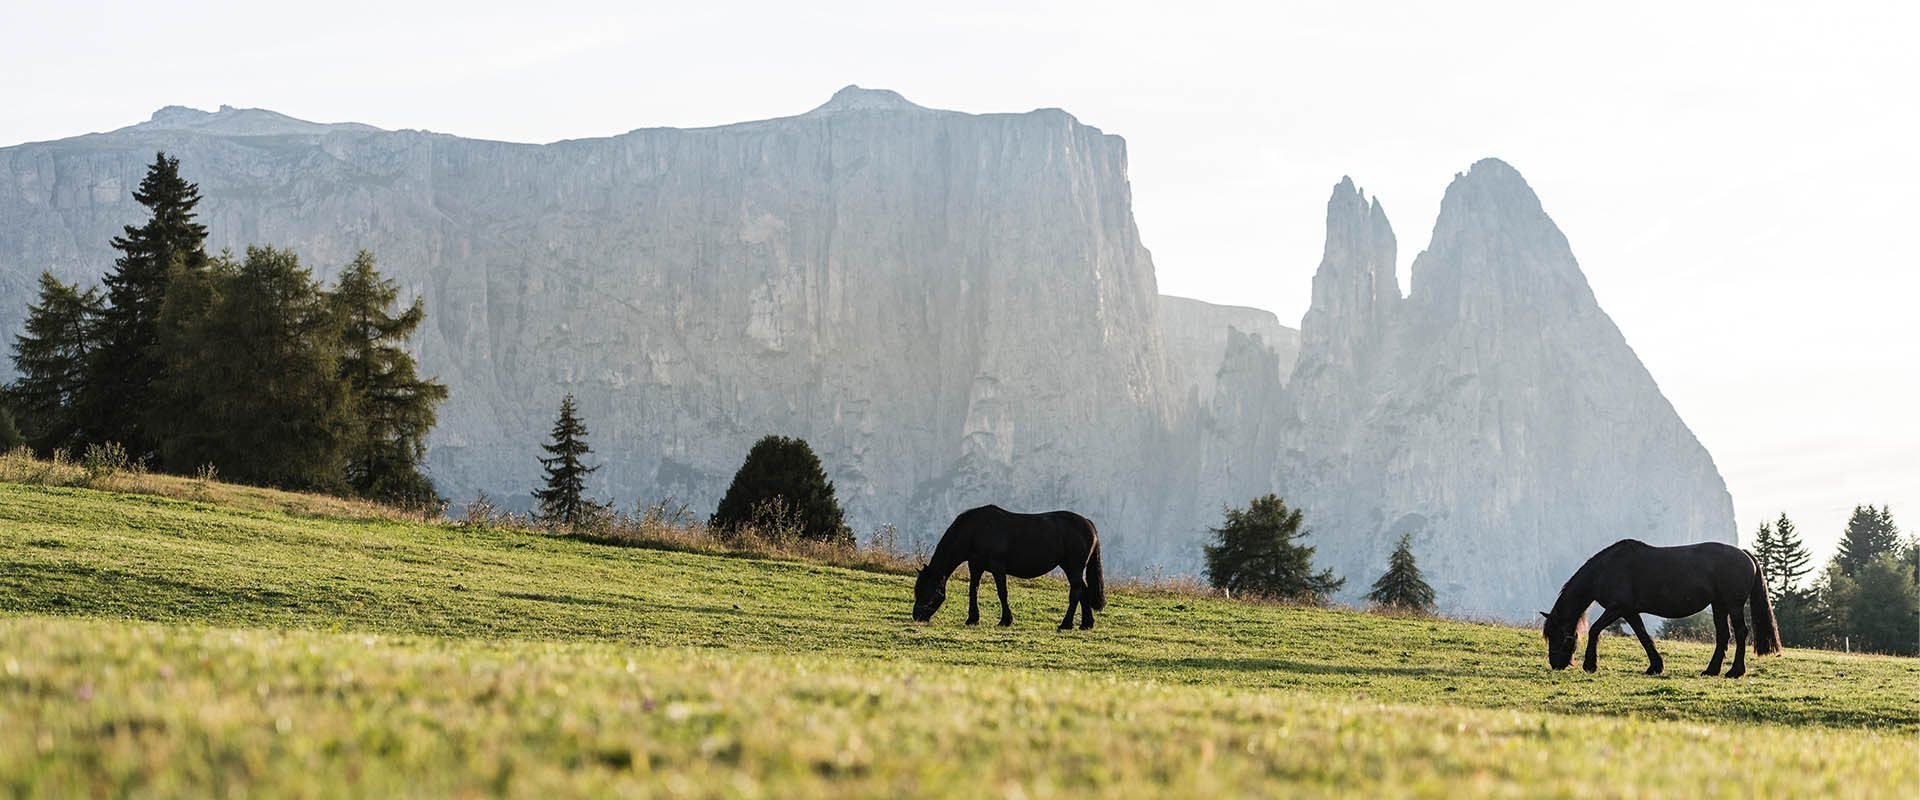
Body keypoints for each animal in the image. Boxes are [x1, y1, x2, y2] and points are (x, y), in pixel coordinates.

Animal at [913, 506, 1113, 629]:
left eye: (928, 591)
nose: (917, 617)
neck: (976, 531)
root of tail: (1088, 524)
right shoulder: (975, 566)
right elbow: (973, 590)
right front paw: (972, 619)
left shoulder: (998, 567)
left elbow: (1002, 593)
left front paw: (1005, 620)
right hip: (1071, 567)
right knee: (1083, 591)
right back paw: (1086, 623)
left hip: (1074, 567)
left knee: (1076, 592)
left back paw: (1066, 624)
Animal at [1536, 541, 1774, 675]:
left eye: (1557, 635)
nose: (1555, 663)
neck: (1606, 569)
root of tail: (1745, 554)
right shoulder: (1630, 612)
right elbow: (1643, 636)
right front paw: (1655, 666)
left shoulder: (1617, 608)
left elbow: (1595, 629)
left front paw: (1590, 665)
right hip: (1719, 605)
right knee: (1723, 635)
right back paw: (1711, 670)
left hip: (1733, 605)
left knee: (1741, 633)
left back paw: (1735, 671)